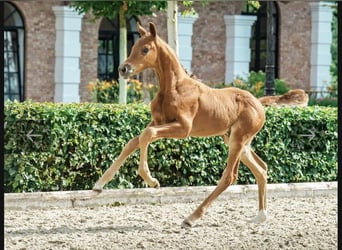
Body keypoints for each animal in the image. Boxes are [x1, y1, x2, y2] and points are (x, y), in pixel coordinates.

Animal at [92, 22, 268, 228]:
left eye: (145, 49)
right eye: (133, 47)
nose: (123, 69)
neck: (174, 88)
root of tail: (259, 105)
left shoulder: (183, 128)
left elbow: (147, 134)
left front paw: (152, 181)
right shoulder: (159, 122)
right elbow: (134, 141)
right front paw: (99, 184)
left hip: (237, 141)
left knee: (229, 176)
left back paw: (192, 217)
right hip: (236, 141)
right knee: (261, 169)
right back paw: (261, 215)